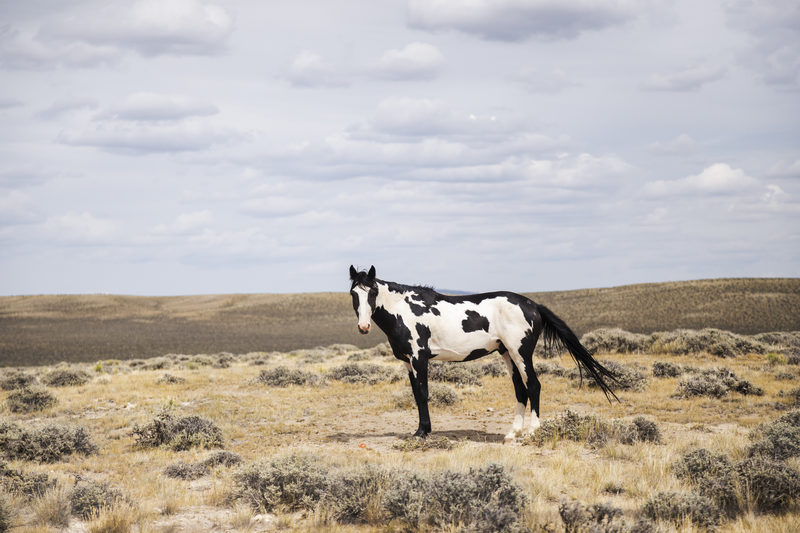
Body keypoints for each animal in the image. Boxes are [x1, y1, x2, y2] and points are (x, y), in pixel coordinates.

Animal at [348, 265, 618, 442]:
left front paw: (422, 432)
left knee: (534, 385)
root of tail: (533, 306)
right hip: (507, 354)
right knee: (521, 390)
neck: (404, 311)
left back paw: (532, 431)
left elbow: (423, 394)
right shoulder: (408, 362)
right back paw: (512, 433)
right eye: (353, 293)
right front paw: (422, 429)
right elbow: (416, 395)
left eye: (372, 292)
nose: (363, 327)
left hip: (520, 353)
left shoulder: (419, 359)